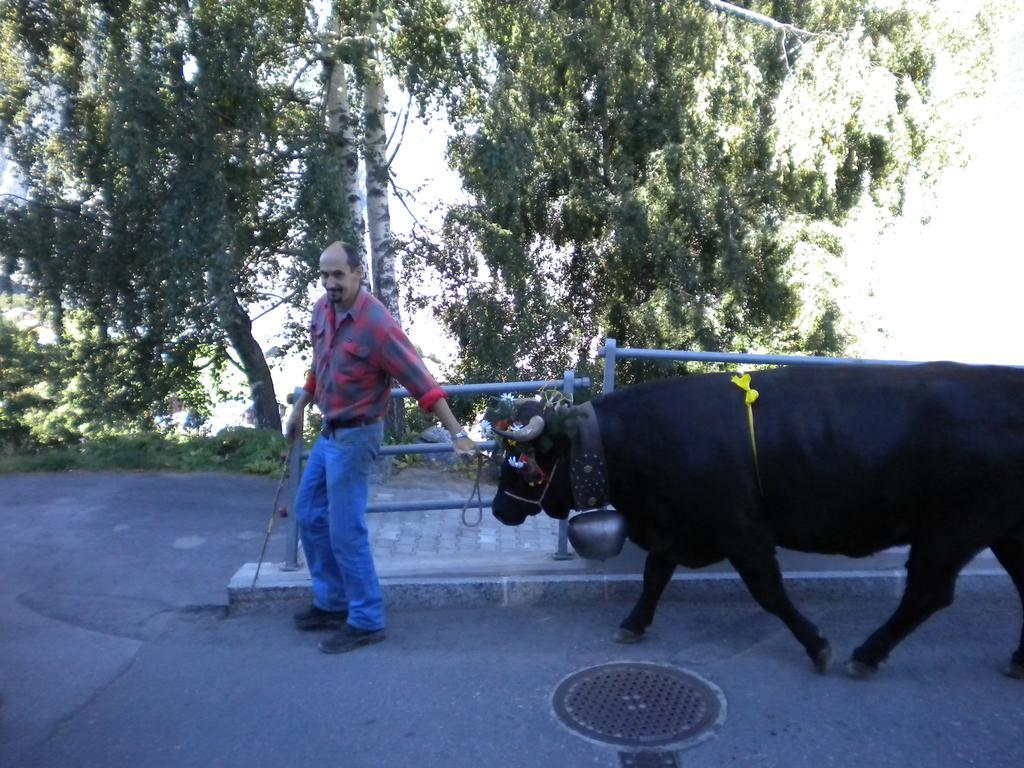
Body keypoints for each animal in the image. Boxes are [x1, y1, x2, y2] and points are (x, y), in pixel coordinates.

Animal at [489, 362, 1024, 679]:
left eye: (522, 462)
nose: (498, 509)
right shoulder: (676, 529)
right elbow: (654, 578)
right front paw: (633, 624)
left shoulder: (742, 531)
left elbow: (769, 592)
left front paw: (817, 646)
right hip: (1004, 531)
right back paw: (1017, 659)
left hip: (951, 530)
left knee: (927, 593)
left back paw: (866, 654)